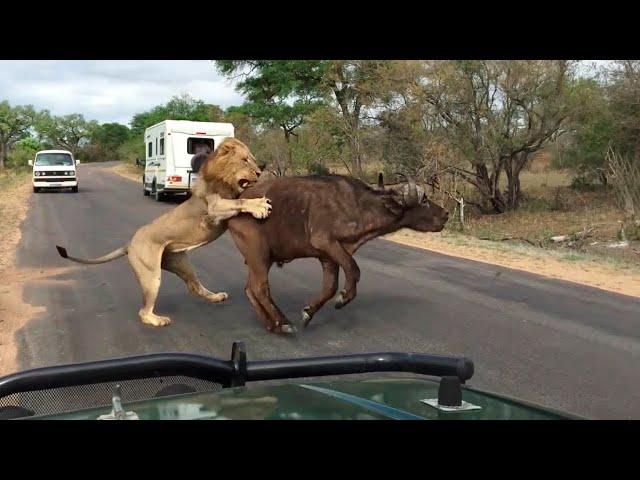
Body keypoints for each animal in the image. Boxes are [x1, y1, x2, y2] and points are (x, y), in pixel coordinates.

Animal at [55, 137, 272, 328]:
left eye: (253, 159)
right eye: (245, 160)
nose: (259, 172)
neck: (225, 179)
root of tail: (129, 243)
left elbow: (239, 199)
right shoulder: (214, 207)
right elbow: (240, 201)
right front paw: (259, 205)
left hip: (181, 263)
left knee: (194, 286)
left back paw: (216, 297)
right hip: (151, 274)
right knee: (143, 311)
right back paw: (158, 320)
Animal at [228, 172, 448, 334]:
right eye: (425, 200)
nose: (446, 214)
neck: (359, 205)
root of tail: (237, 204)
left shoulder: (327, 257)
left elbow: (329, 288)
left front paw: (309, 312)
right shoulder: (327, 243)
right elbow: (353, 269)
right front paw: (343, 299)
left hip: (261, 260)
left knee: (249, 289)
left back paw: (271, 324)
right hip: (259, 255)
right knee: (260, 288)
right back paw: (283, 323)